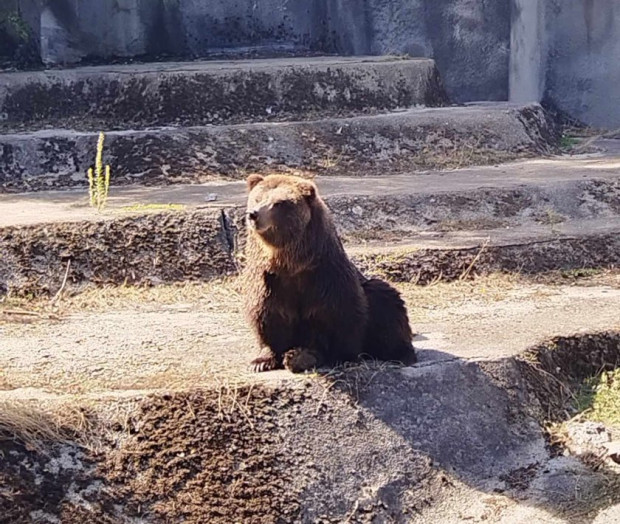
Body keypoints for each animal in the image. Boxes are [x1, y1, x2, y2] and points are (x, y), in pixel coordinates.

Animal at [242, 173, 416, 372]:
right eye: (257, 198)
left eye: (279, 202)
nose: (254, 214)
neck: (291, 263)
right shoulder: (269, 279)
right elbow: (266, 313)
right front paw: (261, 361)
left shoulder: (326, 274)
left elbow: (341, 313)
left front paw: (338, 357)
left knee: (385, 298)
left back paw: (401, 353)